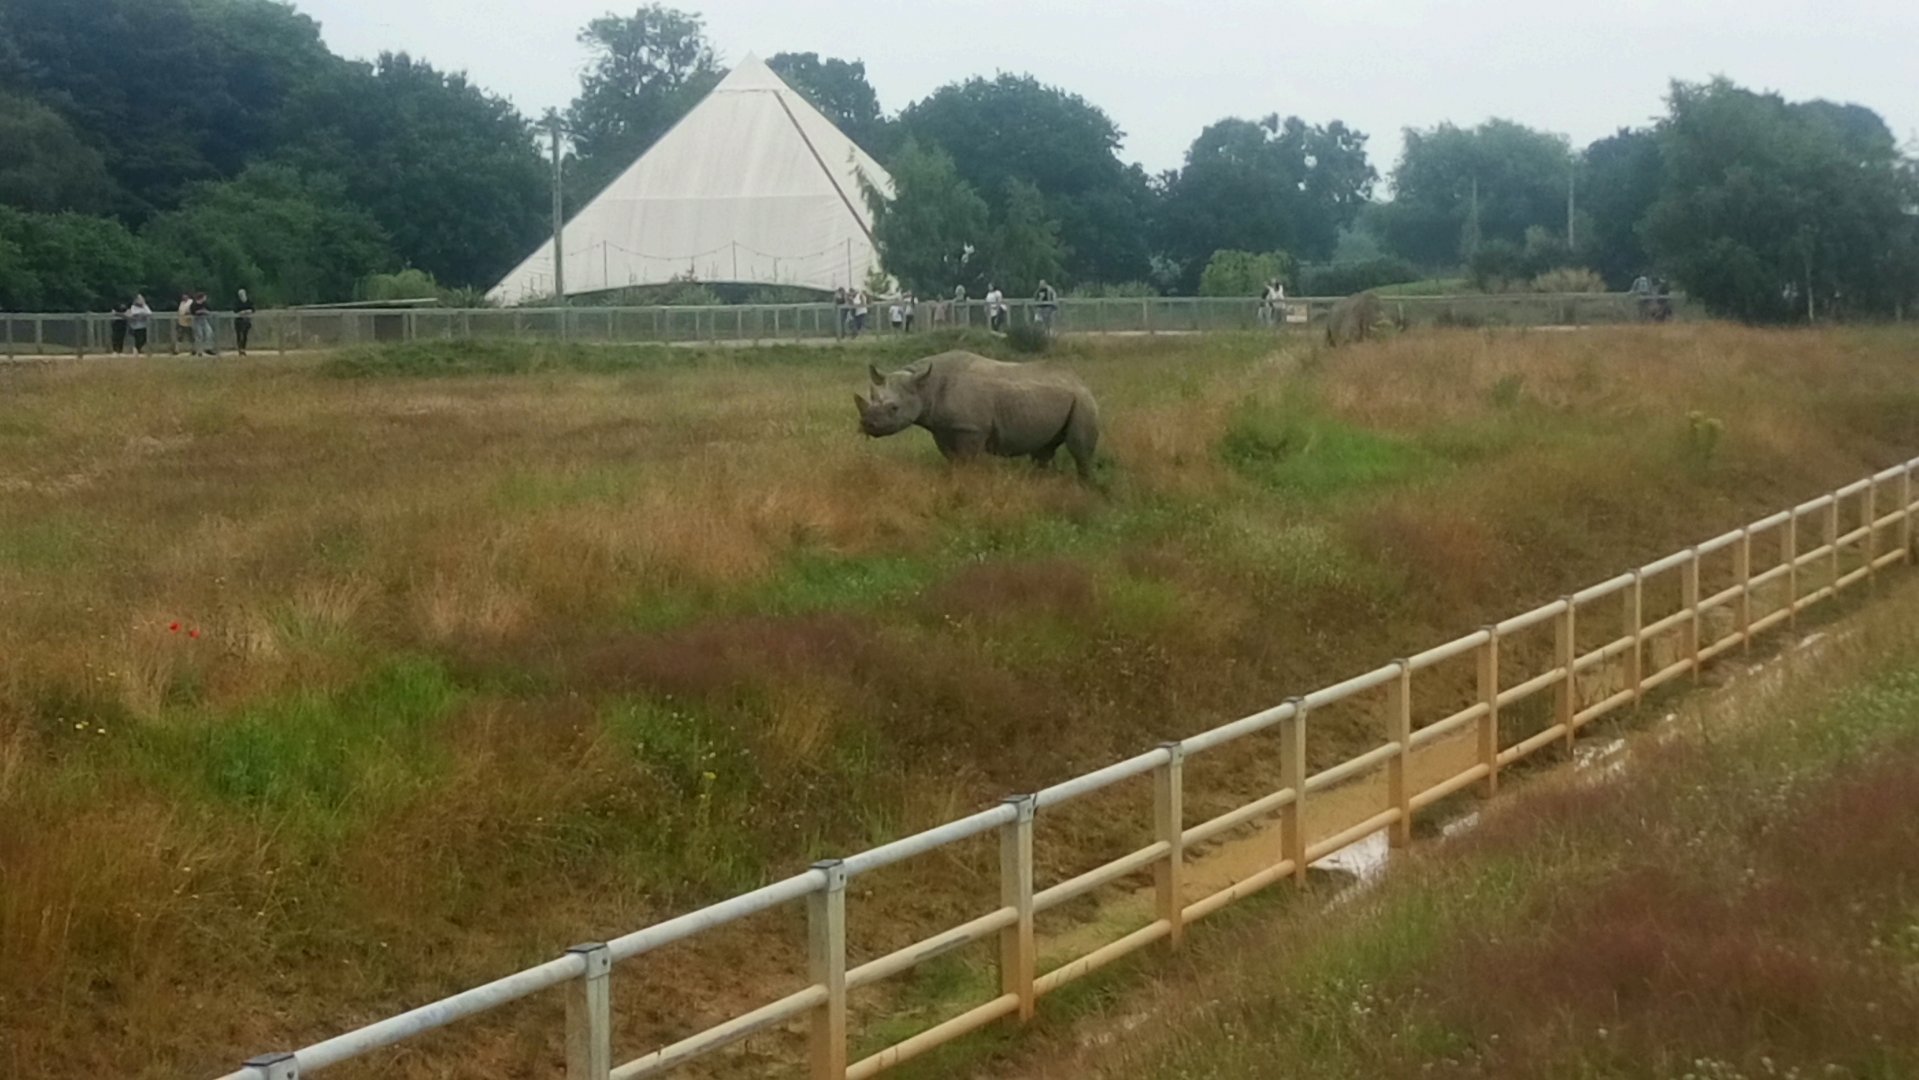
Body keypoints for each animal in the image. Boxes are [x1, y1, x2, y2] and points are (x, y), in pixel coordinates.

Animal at [854, 350, 1101, 480]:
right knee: (1043, 450)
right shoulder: (944, 429)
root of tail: (1080, 381)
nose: (867, 424)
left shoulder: (971, 429)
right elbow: (952, 459)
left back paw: (1083, 486)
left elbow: (967, 461)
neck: (925, 387)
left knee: (1079, 451)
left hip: (1084, 401)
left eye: (894, 408)